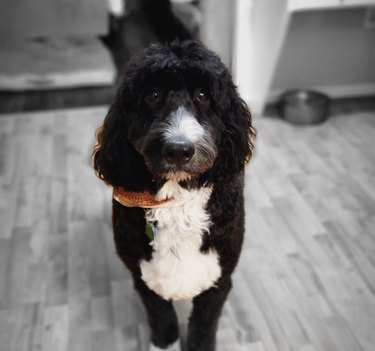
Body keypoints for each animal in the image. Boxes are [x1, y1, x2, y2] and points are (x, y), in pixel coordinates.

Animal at [94, 41, 256, 351]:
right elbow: (161, 318)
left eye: (203, 95)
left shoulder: (219, 277)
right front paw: (163, 344)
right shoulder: (143, 277)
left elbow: (203, 326)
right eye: (153, 95)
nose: (179, 150)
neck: (176, 198)